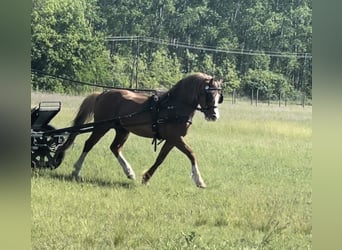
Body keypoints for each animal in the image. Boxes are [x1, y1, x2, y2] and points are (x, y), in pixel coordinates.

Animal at [56, 72, 222, 188]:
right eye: (209, 94)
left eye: (219, 96)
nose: (214, 116)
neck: (173, 106)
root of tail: (102, 94)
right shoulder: (176, 138)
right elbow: (191, 154)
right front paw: (199, 181)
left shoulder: (172, 139)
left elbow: (160, 159)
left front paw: (146, 178)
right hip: (102, 126)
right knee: (89, 144)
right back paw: (76, 171)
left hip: (122, 130)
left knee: (115, 148)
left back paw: (129, 172)